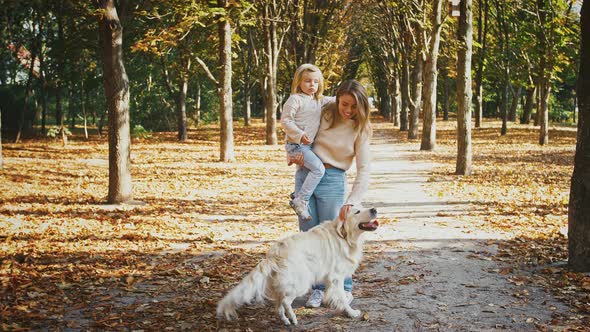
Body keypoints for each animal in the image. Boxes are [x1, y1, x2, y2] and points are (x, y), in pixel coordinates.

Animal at [216, 206, 380, 326]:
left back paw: (285, 320)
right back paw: (294, 319)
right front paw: (351, 313)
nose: (374, 209)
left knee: (279, 305)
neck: (344, 236)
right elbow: (342, 298)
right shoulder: (336, 277)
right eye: (357, 211)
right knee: (286, 302)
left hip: (282, 285)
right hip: (301, 282)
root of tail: (274, 253)